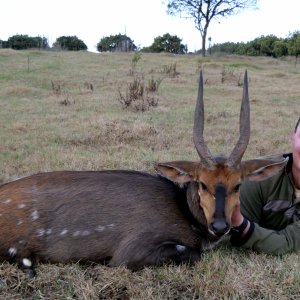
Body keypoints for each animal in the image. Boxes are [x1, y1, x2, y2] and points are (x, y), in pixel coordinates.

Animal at [0, 71, 286, 276]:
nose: (219, 226)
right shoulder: (129, 254)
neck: (185, 212)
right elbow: (193, 255)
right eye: (202, 183)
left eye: (238, 185)